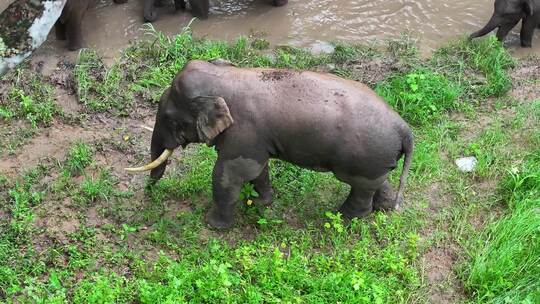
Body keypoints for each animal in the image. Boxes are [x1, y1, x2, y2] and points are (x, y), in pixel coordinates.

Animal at [126, 60, 414, 230]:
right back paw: (383, 208)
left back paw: (341, 218)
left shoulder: (243, 133)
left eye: (169, 118)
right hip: (376, 160)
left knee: (360, 188)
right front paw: (262, 203)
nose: (148, 195)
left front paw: (213, 226)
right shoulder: (255, 140)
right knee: (378, 181)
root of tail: (404, 128)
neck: (228, 75)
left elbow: (229, 174)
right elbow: (257, 169)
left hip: (363, 160)